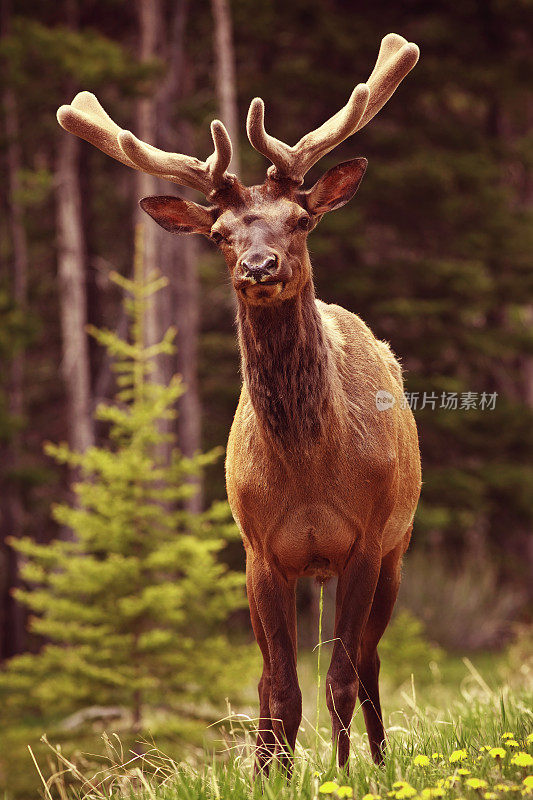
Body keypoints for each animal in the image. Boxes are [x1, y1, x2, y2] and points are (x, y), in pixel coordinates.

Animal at [58, 32, 422, 776]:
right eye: (221, 233)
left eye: (302, 220)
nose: (259, 267)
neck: (309, 471)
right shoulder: (259, 550)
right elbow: (277, 683)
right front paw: (271, 775)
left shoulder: (368, 540)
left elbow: (338, 676)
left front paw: (342, 774)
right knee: (273, 677)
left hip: (398, 549)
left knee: (369, 662)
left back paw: (376, 760)